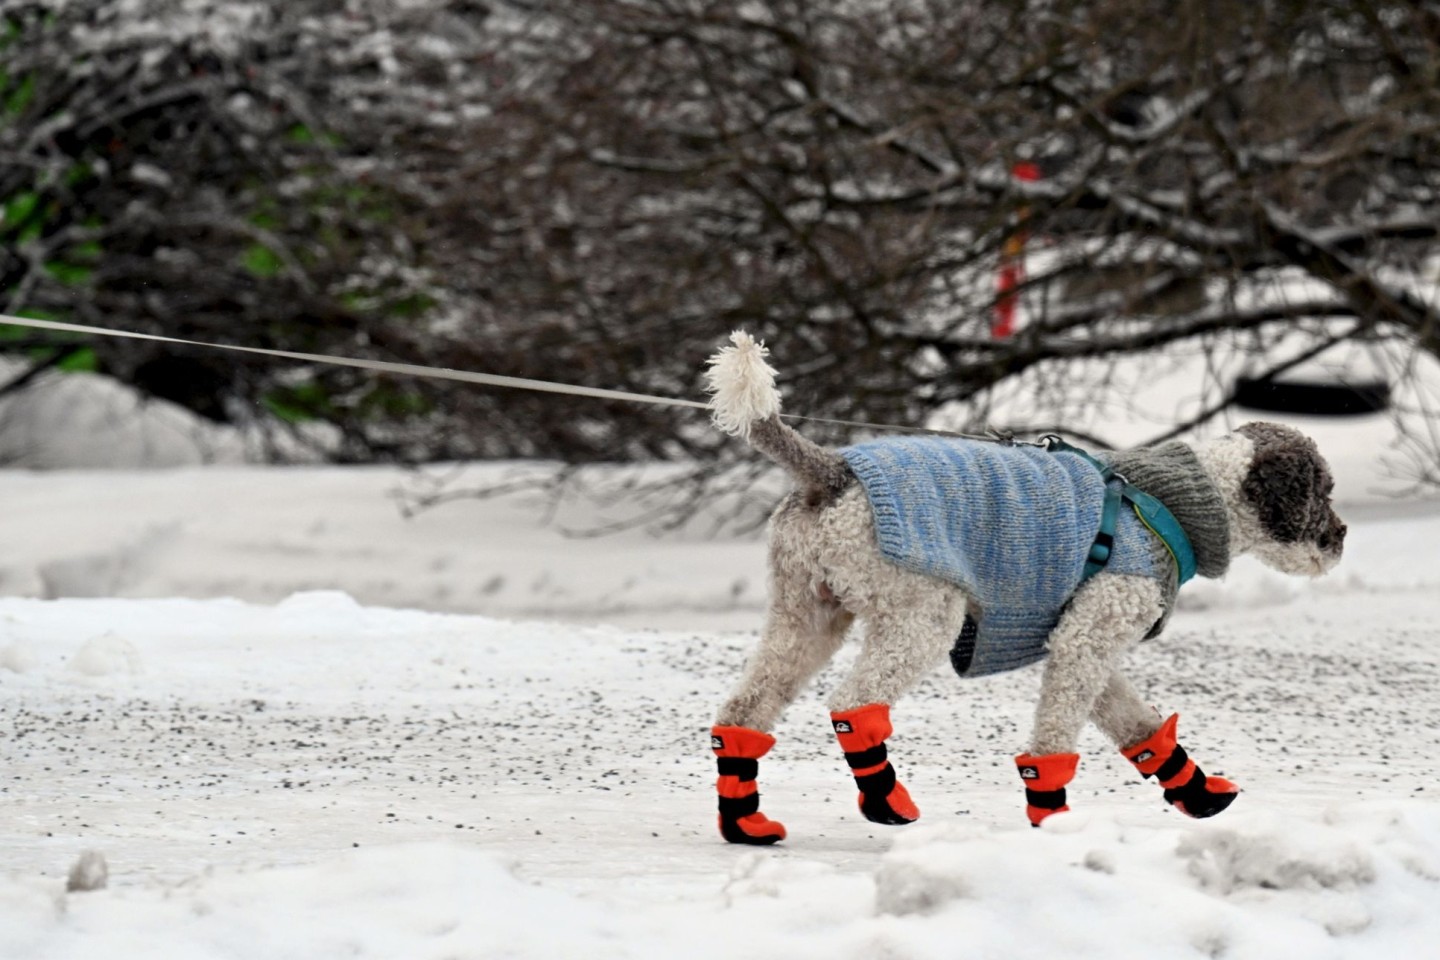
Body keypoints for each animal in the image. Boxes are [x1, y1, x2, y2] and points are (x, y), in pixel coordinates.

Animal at [702, 333, 1342, 846]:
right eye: (1323, 490)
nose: (1340, 538)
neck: (1176, 504)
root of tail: (833, 473)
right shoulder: (1088, 638)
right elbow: (1056, 734)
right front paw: (1053, 817)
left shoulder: (1085, 639)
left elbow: (1137, 724)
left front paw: (1197, 792)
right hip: (920, 617)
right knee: (853, 704)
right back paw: (886, 802)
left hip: (805, 615)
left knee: (745, 709)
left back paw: (745, 822)